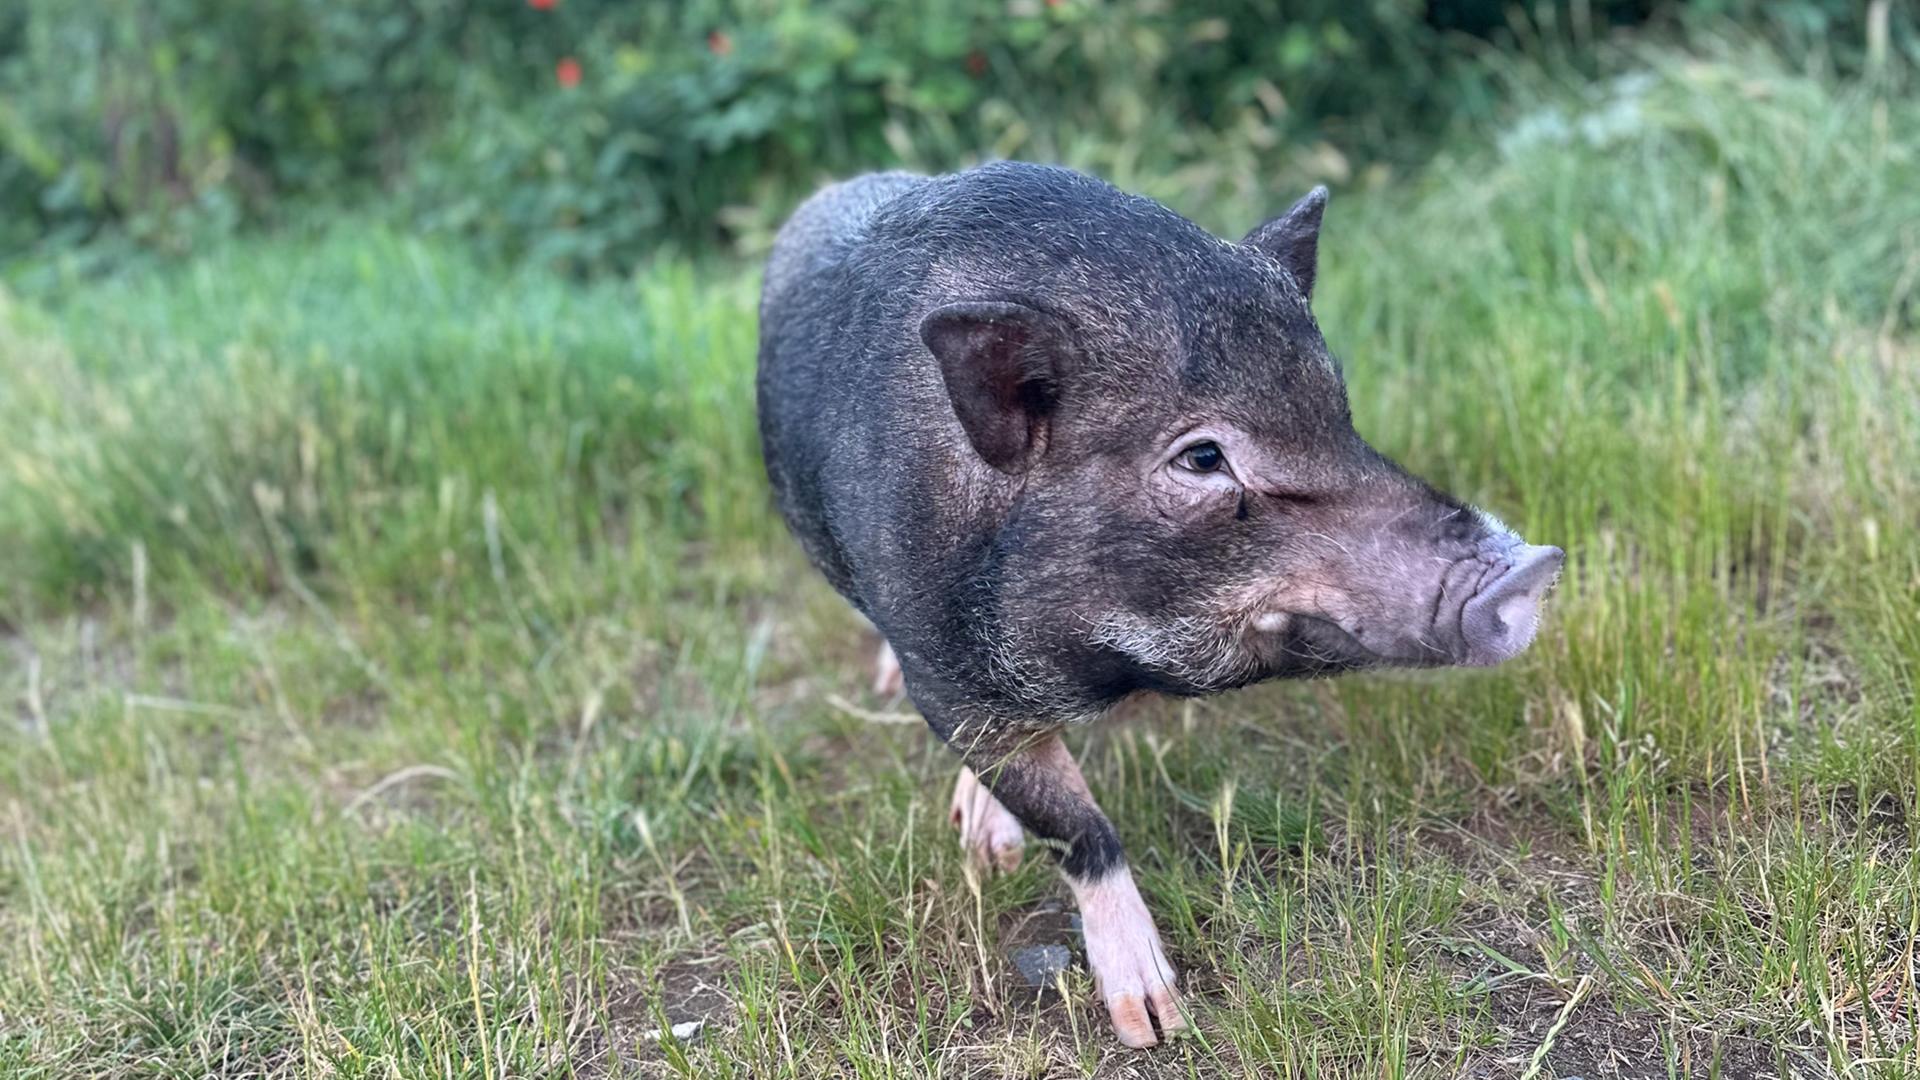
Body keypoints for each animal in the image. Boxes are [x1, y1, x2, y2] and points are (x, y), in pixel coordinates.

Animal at [748, 164, 1559, 1045]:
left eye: (1340, 418)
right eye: (1202, 458)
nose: (1534, 566)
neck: (1104, 669)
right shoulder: (948, 673)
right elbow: (1077, 825)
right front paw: (1155, 1023)